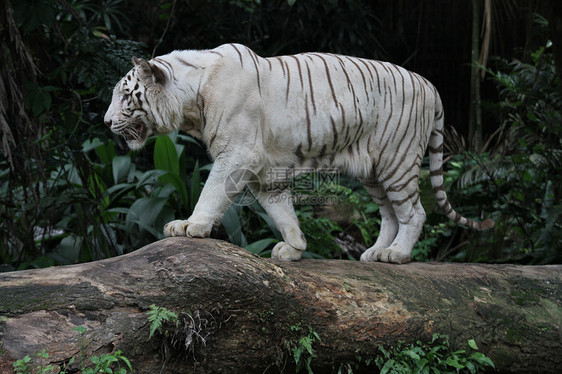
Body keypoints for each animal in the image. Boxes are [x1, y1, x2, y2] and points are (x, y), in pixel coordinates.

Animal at [104, 43, 490, 262]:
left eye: (125, 95)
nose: (106, 121)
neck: (190, 105)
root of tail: (430, 85)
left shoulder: (236, 155)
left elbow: (211, 192)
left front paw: (191, 225)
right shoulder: (263, 173)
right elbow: (282, 212)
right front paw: (295, 247)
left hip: (397, 160)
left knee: (415, 212)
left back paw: (398, 254)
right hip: (373, 171)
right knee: (390, 215)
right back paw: (375, 252)